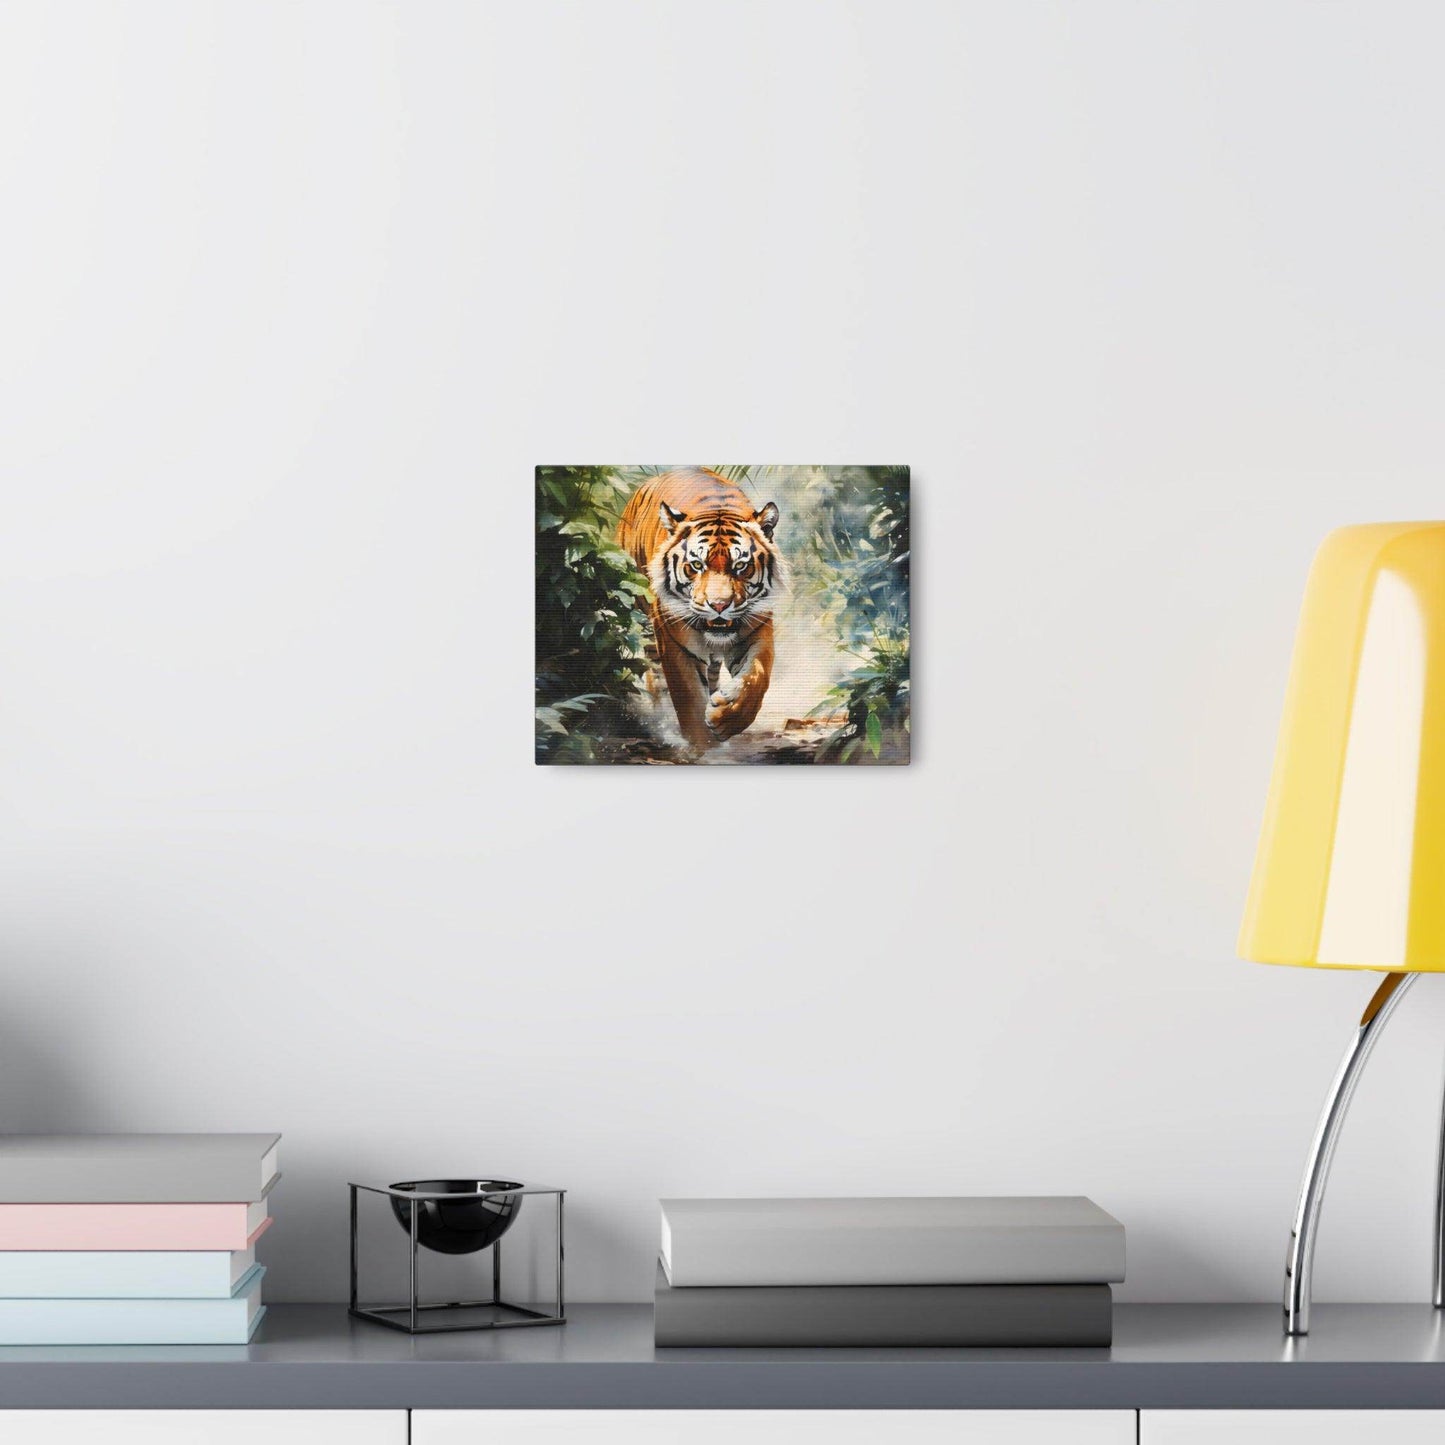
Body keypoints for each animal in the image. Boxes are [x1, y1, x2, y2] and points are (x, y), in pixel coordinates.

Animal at [617, 468, 782, 749]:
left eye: (740, 566)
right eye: (696, 565)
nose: (719, 605)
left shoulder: (756, 630)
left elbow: (756, 678)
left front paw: (725, 717)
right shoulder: (673, 642)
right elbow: (689, 698)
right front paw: (704, 747)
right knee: (656, 676)